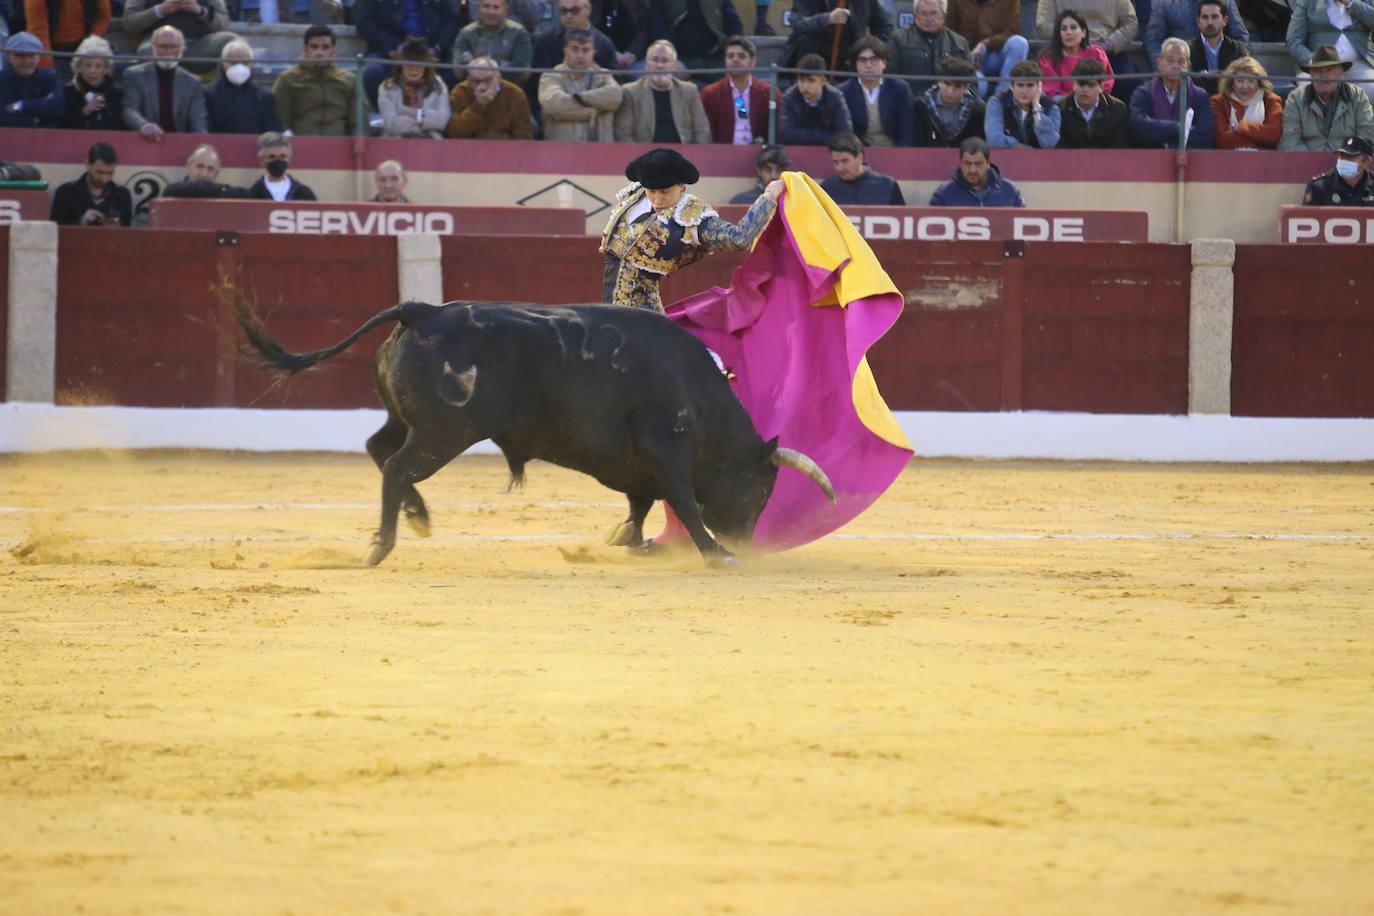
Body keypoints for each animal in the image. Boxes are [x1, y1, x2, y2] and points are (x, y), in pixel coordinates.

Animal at [230, 300, 829, 565]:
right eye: (762, 487)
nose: (746, 541)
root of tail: (422, 310)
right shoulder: (664, 445)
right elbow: (680, 496)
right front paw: (714, 553)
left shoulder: (636, 460)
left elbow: (641, 500)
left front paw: (631, 541)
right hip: (445, 431)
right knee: (397, 466)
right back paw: (383, 544)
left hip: (412, 421)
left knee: (379, 448)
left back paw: (417, 517)